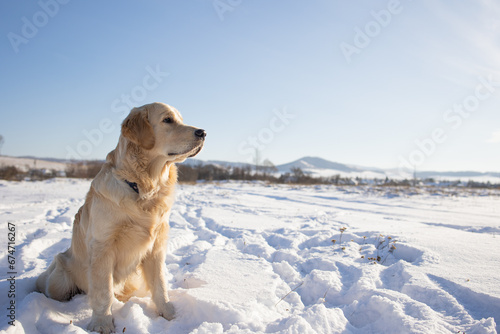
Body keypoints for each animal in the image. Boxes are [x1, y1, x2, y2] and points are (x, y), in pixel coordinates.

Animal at [35, 102, 205, 334]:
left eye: (180, 119)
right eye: (167, 120)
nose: (203, 133)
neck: (144, 188)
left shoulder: (156, 246)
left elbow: (160, 283)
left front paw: (169, 314)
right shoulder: (102, 247)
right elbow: (103, 292)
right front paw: (102, 323)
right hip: (58, 283)